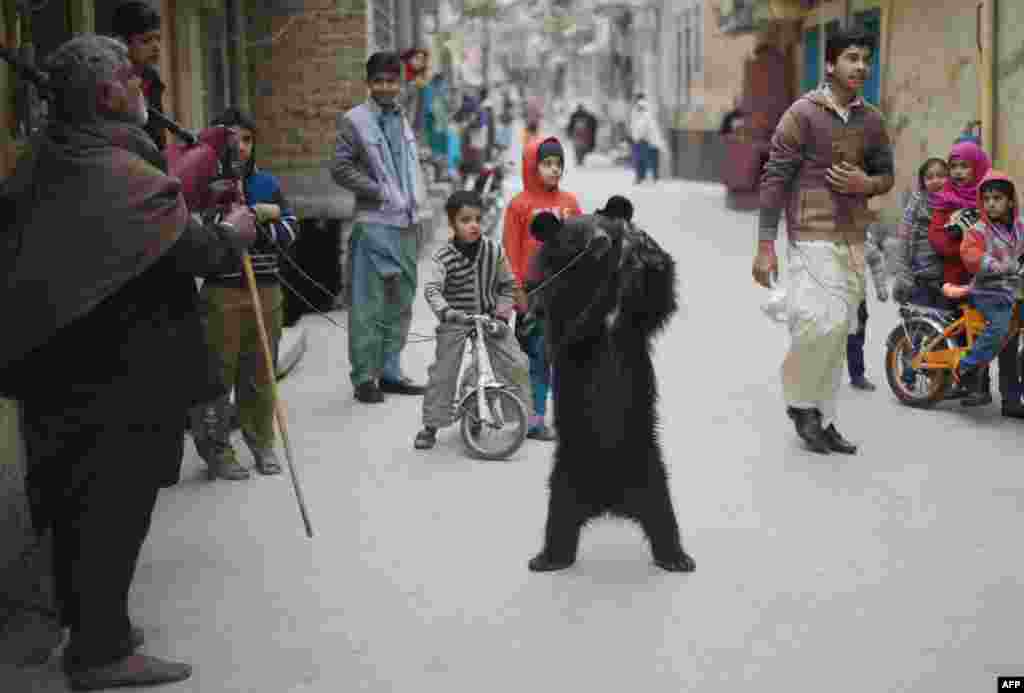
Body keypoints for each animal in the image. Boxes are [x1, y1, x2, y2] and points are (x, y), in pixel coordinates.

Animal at [528, 211, 696, 573]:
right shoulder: (560, 311)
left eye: (605, 224)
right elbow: (577, 328)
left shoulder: (634, 325)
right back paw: (546, 558)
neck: (587, 278)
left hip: (651, 473)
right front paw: (616, 275)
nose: (603, 241)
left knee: (664, 517)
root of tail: (608, 502)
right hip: (566, 476)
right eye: (577, 234)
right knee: (558, 519)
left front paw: (649, 252)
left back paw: (677, 557)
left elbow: (656, 303)